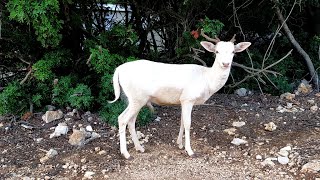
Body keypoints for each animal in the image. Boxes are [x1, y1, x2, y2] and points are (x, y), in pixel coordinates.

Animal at [109, 31, 251, 159]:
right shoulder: (188, 98)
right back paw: (126, 154)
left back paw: (139, 148)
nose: (225, 63)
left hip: (134, 99)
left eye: (233, 52)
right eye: (217, 51)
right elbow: (188, 123)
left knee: (131, 120)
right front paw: (190, 151)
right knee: (122, 119)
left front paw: (180, 144)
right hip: (137, 98)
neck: (207, 81)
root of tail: (118, 70)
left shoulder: (182, 100)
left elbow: (182, 121)